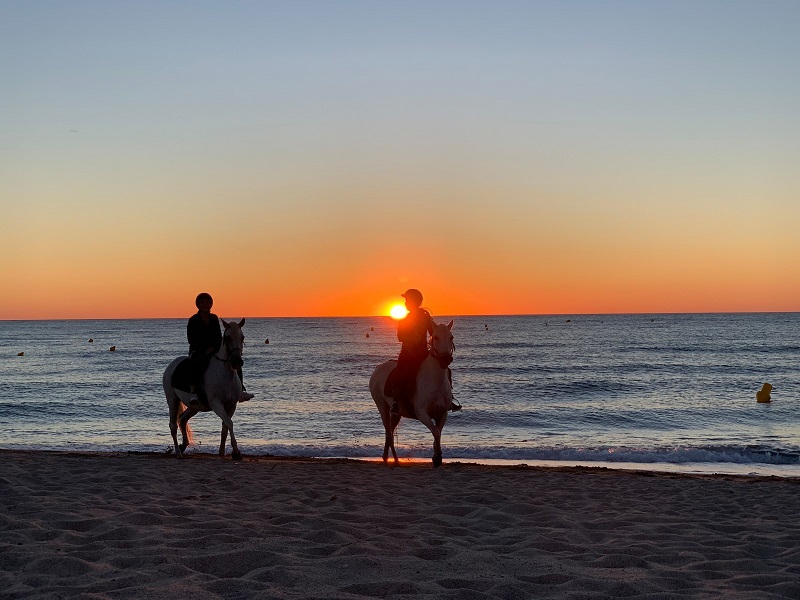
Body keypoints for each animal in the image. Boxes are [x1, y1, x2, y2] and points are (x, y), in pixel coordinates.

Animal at [162, 318, 247, 460]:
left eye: (242, 337)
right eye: (227, 337)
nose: (237, 362)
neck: (224, 374)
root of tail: (172, 365)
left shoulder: (231, 405)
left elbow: (225, 425)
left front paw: (222, 451)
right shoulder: (216, 403)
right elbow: (229, 423)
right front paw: (236, 452)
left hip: (194, 407)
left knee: (182, 420)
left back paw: (183, 446)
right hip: (172, 399)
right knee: (173, 425)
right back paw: (178, 452)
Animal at [370, 322, 454, 466]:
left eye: (451, 337)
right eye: (436, 337)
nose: (445, 359)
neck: (435, 380)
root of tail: (378, 368)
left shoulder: (442, 414)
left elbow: (438, 432)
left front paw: (437, 455)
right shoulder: (422, 413)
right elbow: (436, 432)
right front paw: (437, 457)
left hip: (396, 413)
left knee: (390, 431)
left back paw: (390, 457)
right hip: (382, 407)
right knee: (388, 431)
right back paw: (394, 459)